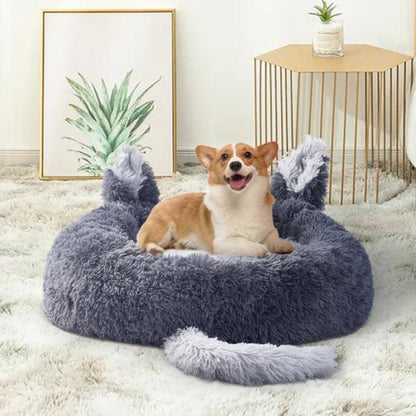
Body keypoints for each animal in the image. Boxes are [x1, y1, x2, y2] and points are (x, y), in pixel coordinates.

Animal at [137, 142, 294, 257]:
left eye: (248, 154)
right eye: (224, 156)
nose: (235, 164)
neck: (240, 199)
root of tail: (157, 205)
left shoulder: (269, 230)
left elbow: (274, 236)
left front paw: (281, 245)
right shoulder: (221, 242)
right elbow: (243, 242)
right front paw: (259, 248)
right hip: (163, 229)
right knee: (144, 243)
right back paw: (154, 249)